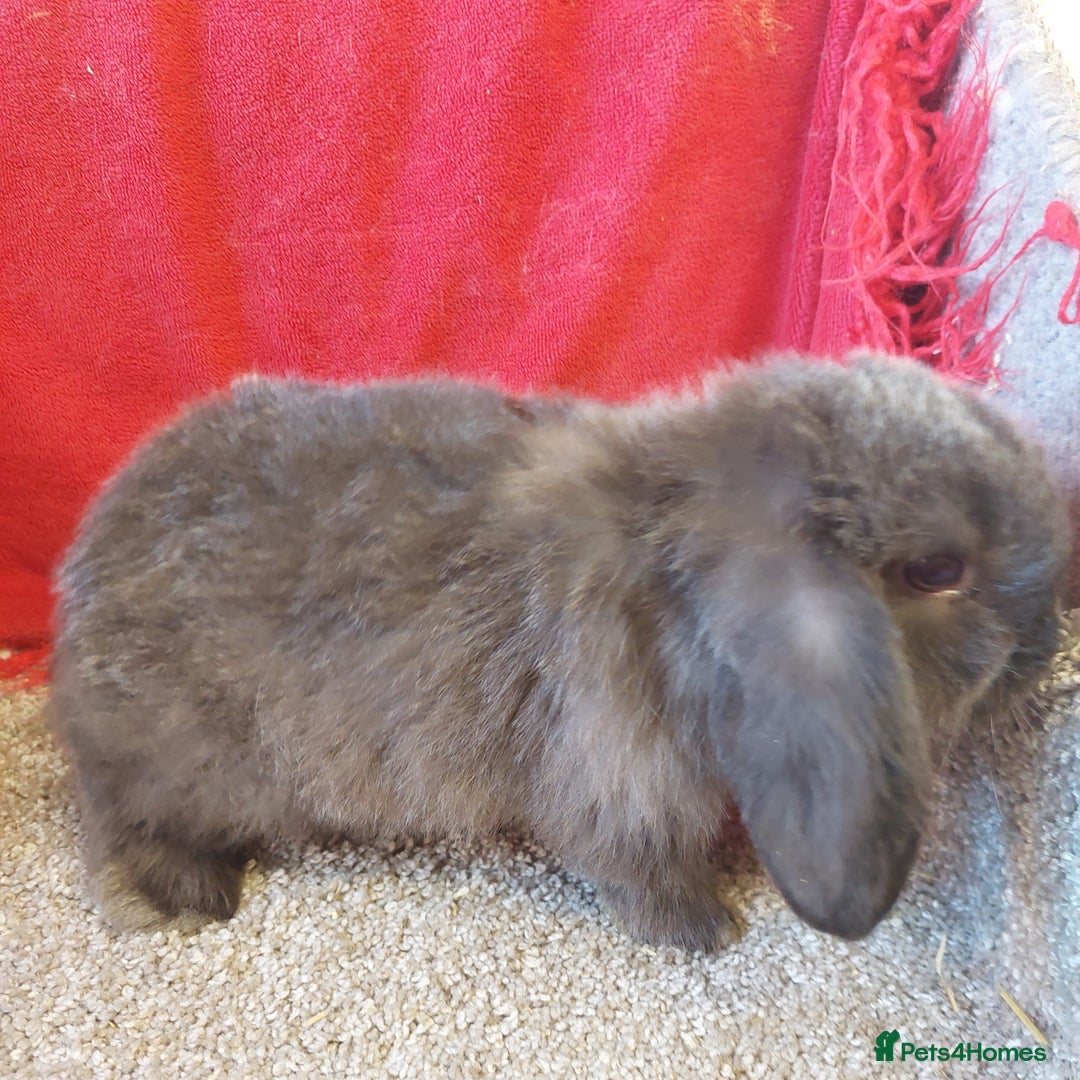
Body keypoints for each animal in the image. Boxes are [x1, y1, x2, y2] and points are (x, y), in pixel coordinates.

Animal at [46, 352, 1071, 951]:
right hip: (188, 767)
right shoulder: (615, 769)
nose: (1045, 650)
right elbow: (636, 862)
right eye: (936, 570)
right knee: (120, 826)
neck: (679, 565)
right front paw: (708, 930)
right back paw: (190, 897)